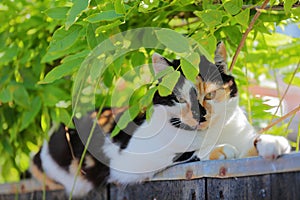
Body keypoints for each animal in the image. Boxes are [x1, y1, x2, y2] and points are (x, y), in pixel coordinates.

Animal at [31, 42, 290, 197]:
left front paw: (273, 142)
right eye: (181, 99)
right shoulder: (129, 161)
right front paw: (219, 149)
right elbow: (185, 153)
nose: (200, 115)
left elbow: (252, 144)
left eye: (210, 94)